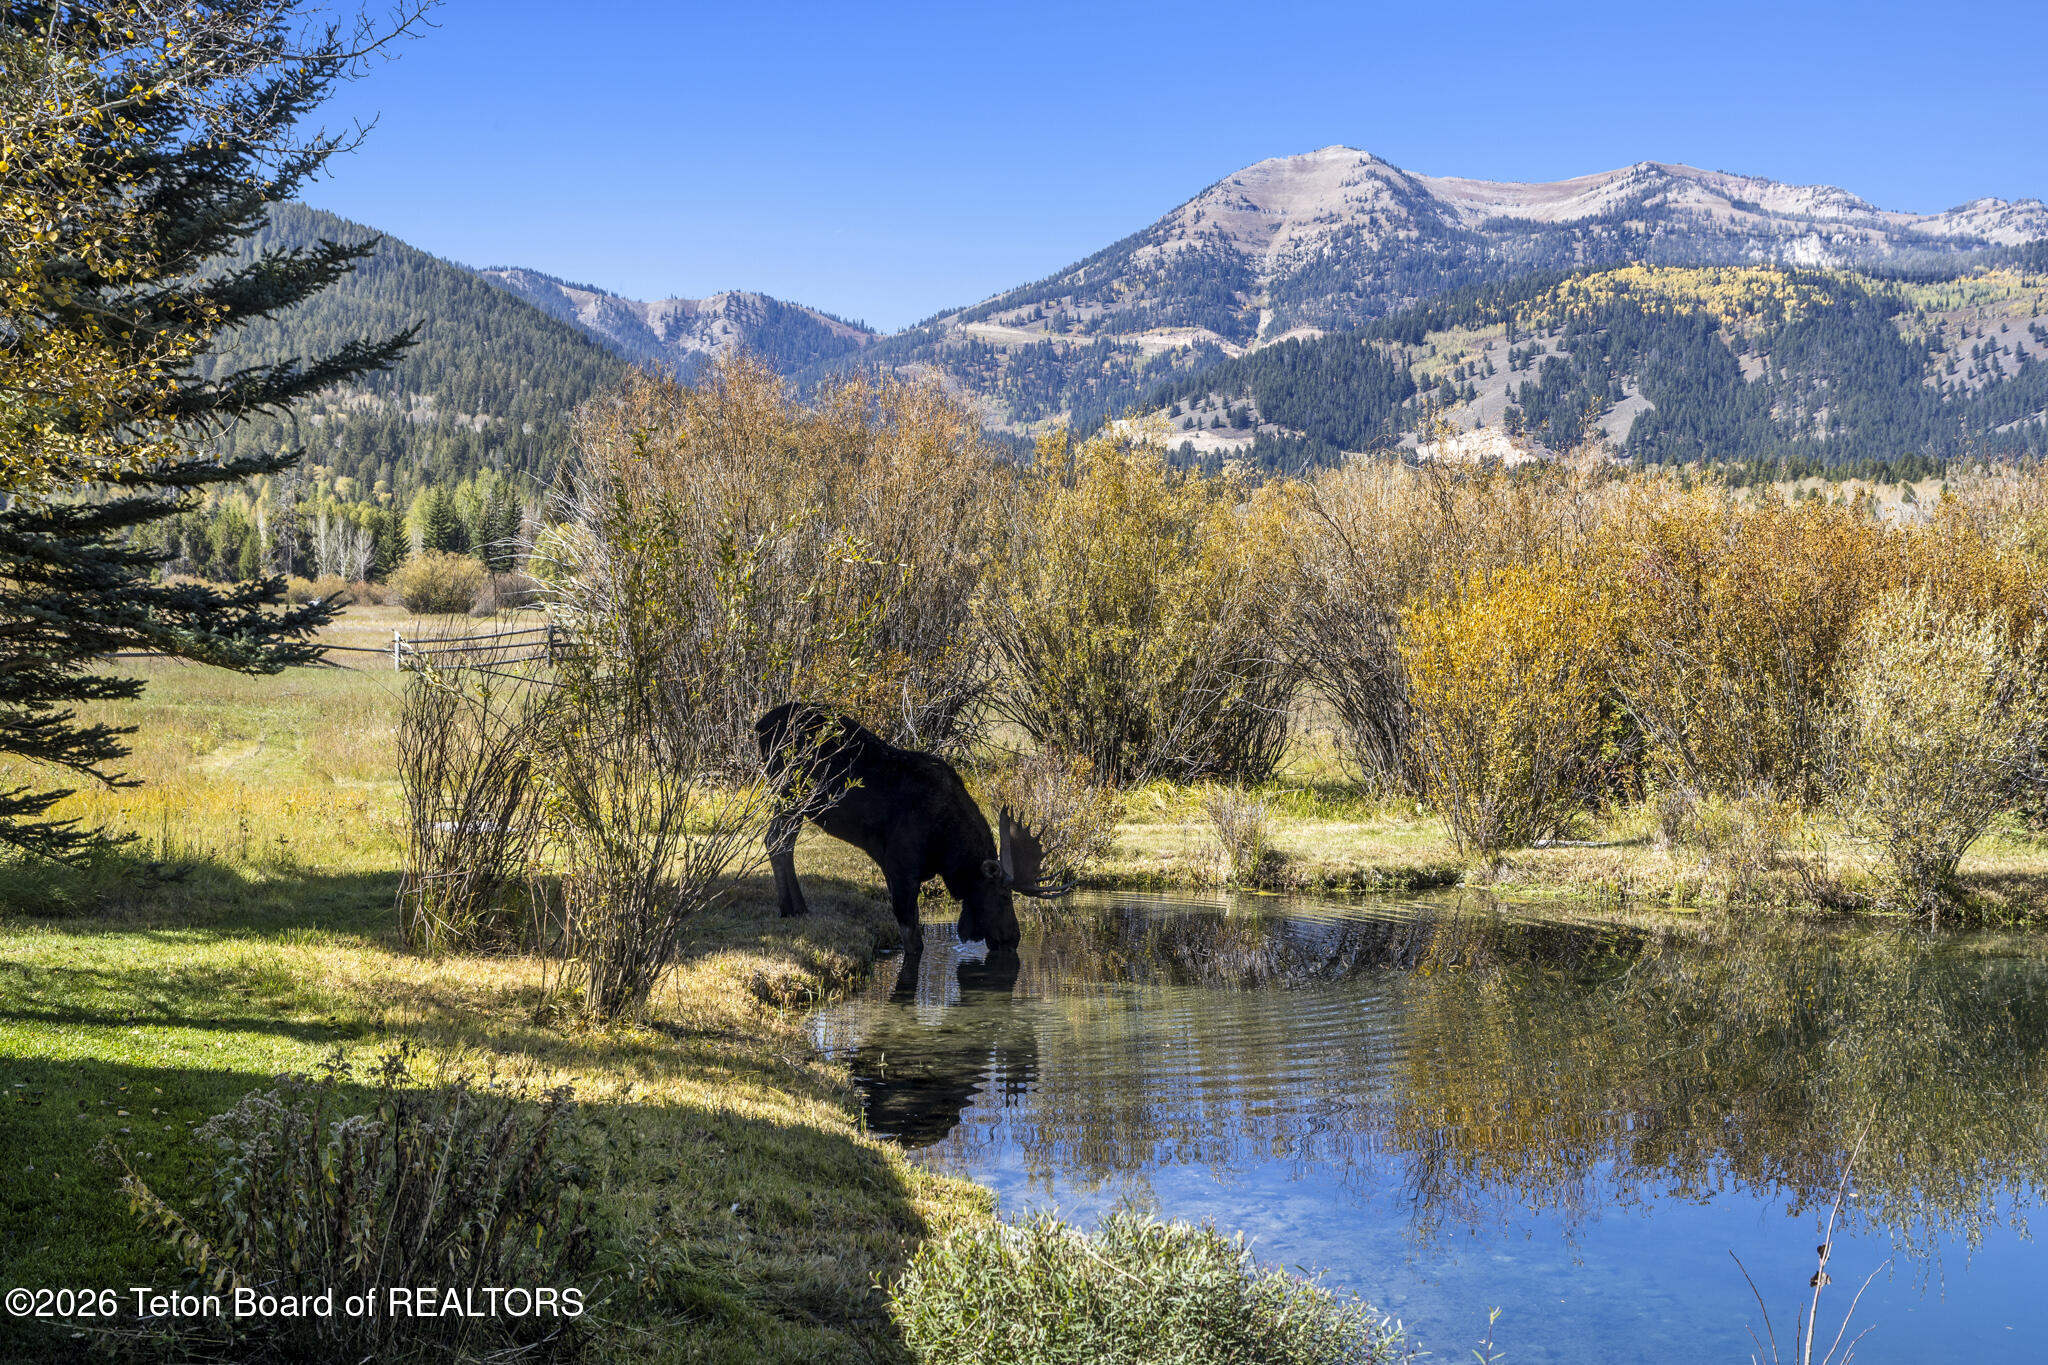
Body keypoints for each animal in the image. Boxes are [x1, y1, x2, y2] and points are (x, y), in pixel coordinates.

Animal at [755, 702, 1074, 956]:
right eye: (1004, 896)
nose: (1013, 939)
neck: (947, 852)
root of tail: (759, 727)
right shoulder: (901, 866)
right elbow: (913, 939)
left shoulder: (894, 867)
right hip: (790, 792)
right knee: (775, 839)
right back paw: (791, 907)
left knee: (784, 842)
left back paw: (797, 907)